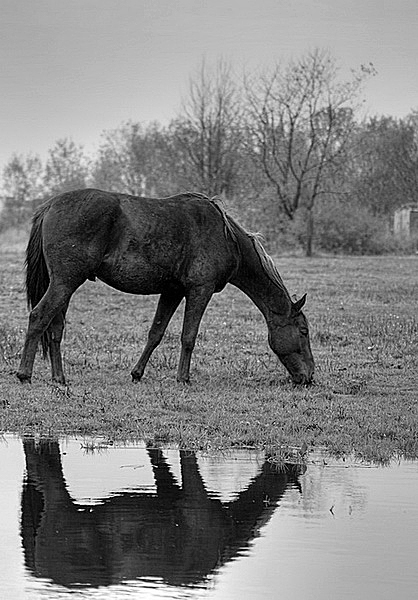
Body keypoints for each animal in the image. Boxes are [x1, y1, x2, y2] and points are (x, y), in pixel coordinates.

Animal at [17, 189, 314, 384]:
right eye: (304, 331)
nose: (310, 376)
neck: (225, 236)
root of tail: (50, 205)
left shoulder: (172, 291)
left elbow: (155, 334)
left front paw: (137, 373)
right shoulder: (200, 290)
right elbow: (188, 336)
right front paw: (183, 378)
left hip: (63, 286)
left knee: (55, 328)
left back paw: (59, 378)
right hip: (65, 282)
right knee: (39, 317)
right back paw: (24, 374)